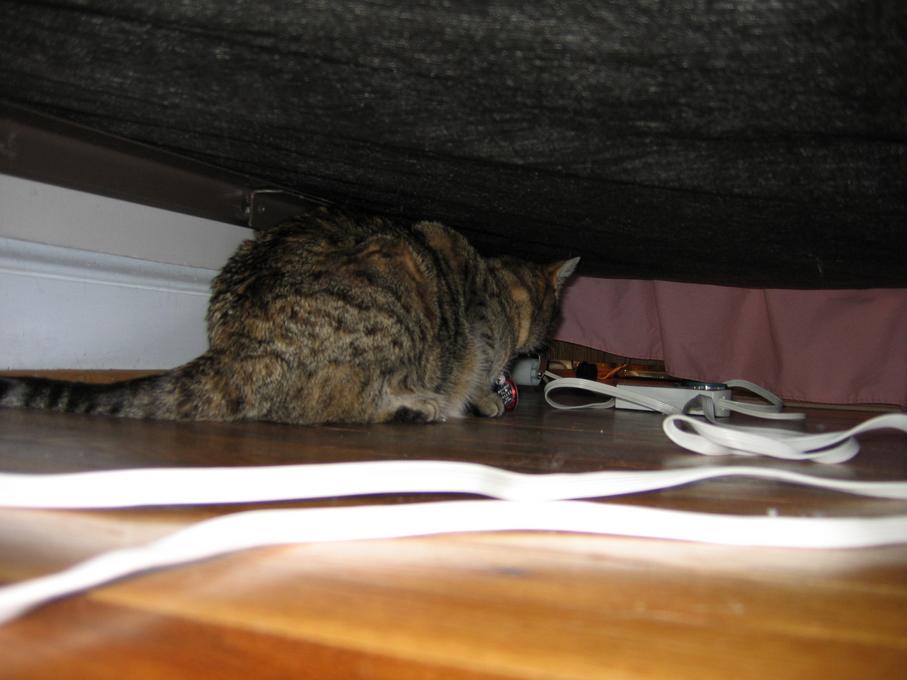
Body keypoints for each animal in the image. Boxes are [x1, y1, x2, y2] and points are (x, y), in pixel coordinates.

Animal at [0, 207, 579, 425]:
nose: (546, 348)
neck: (500, 284)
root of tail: (232, 349)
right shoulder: (479, 342)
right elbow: (479, 374)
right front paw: (490, 398)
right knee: (330, 406)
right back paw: (419, 407)